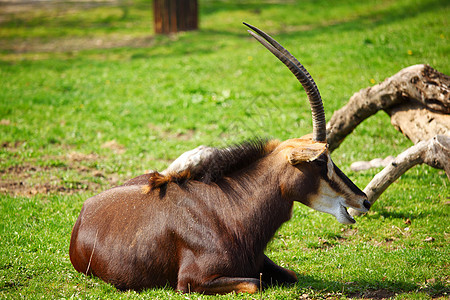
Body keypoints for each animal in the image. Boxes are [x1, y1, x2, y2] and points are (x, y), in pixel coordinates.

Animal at [68, 24, 368, 296]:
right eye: (320, 161)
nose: (363, 200)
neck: (229, 212)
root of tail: (84, 210)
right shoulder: (192, 282)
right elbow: (255, 283)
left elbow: (290, 275)